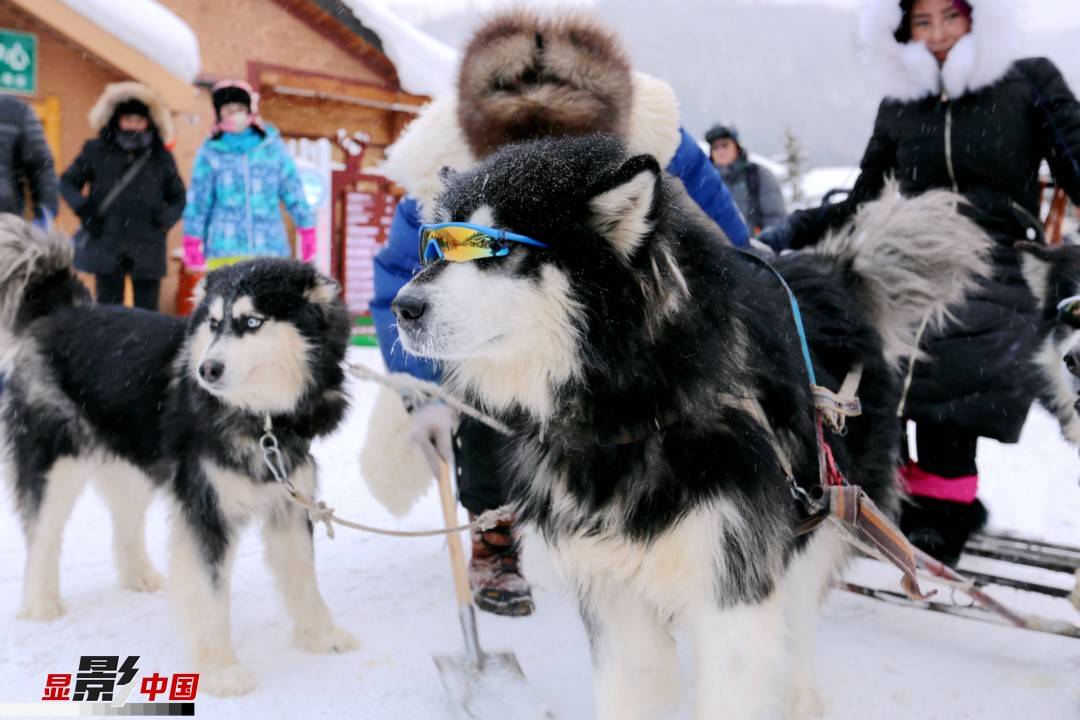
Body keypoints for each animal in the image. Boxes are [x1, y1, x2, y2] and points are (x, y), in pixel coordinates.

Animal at [2, 216, 360, 695]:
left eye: (251, 322)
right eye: (213, 323)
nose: (207, 370)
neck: (261, 419)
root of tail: (63, 309)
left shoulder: (289, 501)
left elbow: (304, 577)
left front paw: (320, 635)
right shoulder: (204, 508)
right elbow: (210, 596)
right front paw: (221, 668)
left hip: (132, 461)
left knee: (125, 518)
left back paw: (138, 575)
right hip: (53, 464)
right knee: (42, 534)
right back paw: (41, 602)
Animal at [393, 136, 989, 720]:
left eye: (498, 249)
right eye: (437, 247)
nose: (402, 306)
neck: (635, 412)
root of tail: (833, 270)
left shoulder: (733, 589)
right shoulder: (613, 598)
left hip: (821, 517)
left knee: (799, 624)